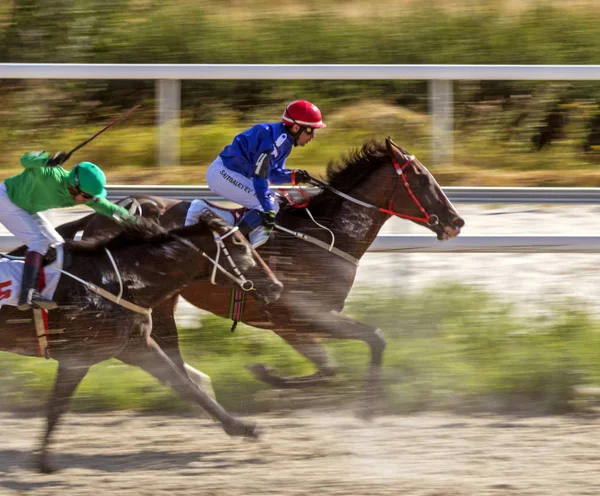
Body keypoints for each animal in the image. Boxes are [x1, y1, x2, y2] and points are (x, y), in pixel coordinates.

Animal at [0, 215, 282, 474]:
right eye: (240, 246)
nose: (276, 286)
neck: (115, 281)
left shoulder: (135, 346)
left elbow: (186, 385)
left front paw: (244, 428)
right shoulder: (78, 357)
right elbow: (57, 407)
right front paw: (44, 463)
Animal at [52, 139, 464, 406]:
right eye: (422, 179)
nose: (456, 221)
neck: (326, 235)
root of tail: (101, 212)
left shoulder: (304, 320)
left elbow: (336, 362)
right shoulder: (295, 316)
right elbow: (362, 346)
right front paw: (268, 373)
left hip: (164, 299)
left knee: (170, 353)